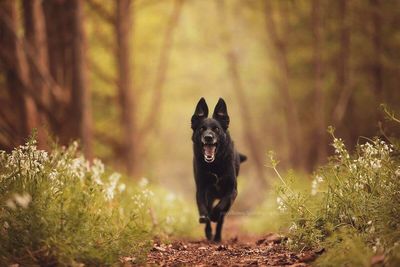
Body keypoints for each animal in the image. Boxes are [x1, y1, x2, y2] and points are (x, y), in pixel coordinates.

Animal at [191, 98, 247, 243]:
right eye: (202, 129)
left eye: (216, 129)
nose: (208, 137)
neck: (214, 164)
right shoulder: (201, 189)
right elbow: (202, 207)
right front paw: (205, 218)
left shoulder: (232, 190)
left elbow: (221, 205)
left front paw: (215, 215)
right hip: (210, 196)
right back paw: (209, 233)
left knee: (222, 218)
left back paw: (217, 237)